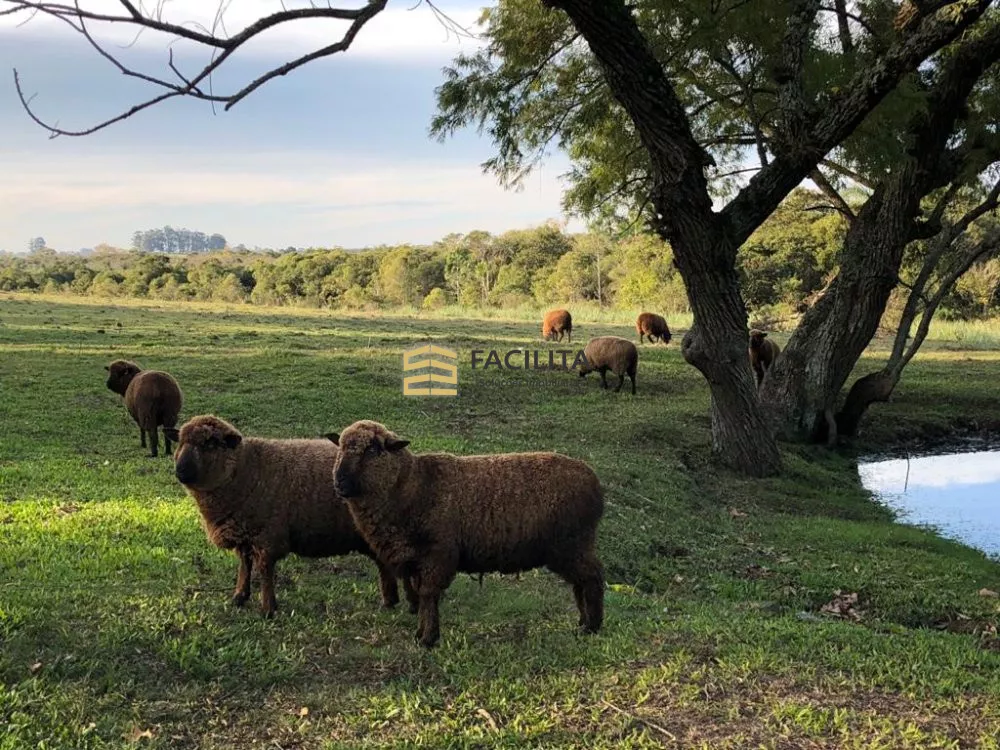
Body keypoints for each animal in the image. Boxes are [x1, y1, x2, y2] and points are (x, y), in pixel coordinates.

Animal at [164, 414, 414, 620]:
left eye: (210, 443)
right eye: (180, 442)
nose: (180, 472)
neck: (246, 469)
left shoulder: (267, 535)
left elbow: (265, 572)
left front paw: (267, 609)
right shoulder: (245, 533)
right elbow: (244, 566)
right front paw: (239, 597)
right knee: (384, 563)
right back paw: (389, 601)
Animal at [328, 420, 604, 648]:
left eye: (372, 450)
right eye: (340, 447)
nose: (339, 482)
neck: (412, 485)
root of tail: (594, 482)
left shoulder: (438, 554)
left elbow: (428, 594)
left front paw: (428, 639)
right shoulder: (416, 559)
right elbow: (421, 595)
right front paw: (420, 633)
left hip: (570, 544)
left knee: (592, 577)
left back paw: (593, 626)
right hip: (572, 547)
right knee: (580, 581)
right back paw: (582, 622)